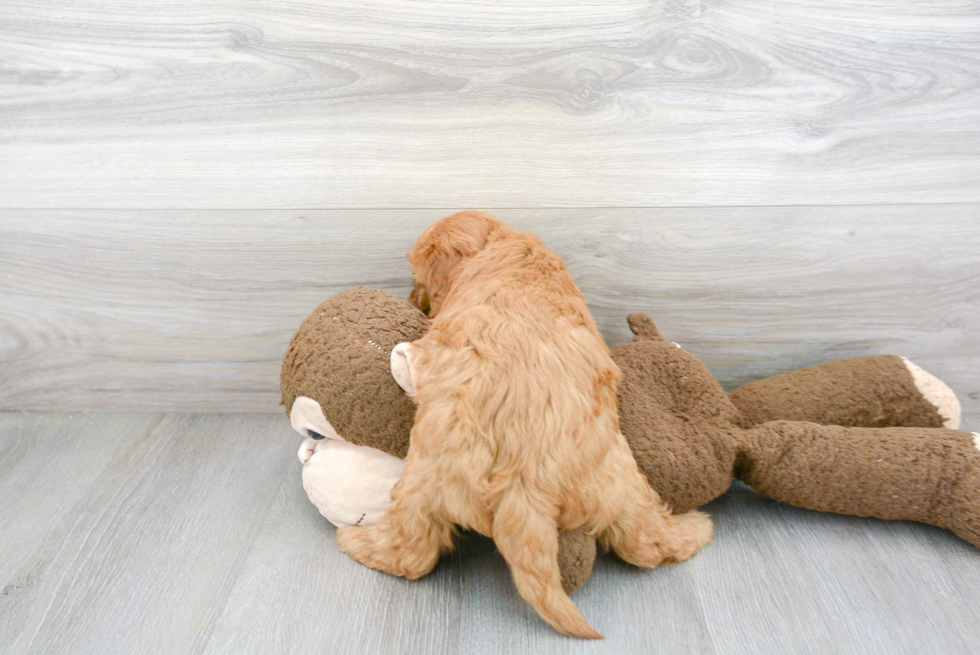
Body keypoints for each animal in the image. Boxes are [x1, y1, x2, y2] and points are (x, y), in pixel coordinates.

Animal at [336, 211, 712, 640]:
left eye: (420, 278)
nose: (413, 298)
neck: (503, 243)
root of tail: (524, 478)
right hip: (618, 476)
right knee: (647, 542)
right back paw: (695, 530)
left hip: (424, 474)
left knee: (410, 551)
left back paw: (355, 541)